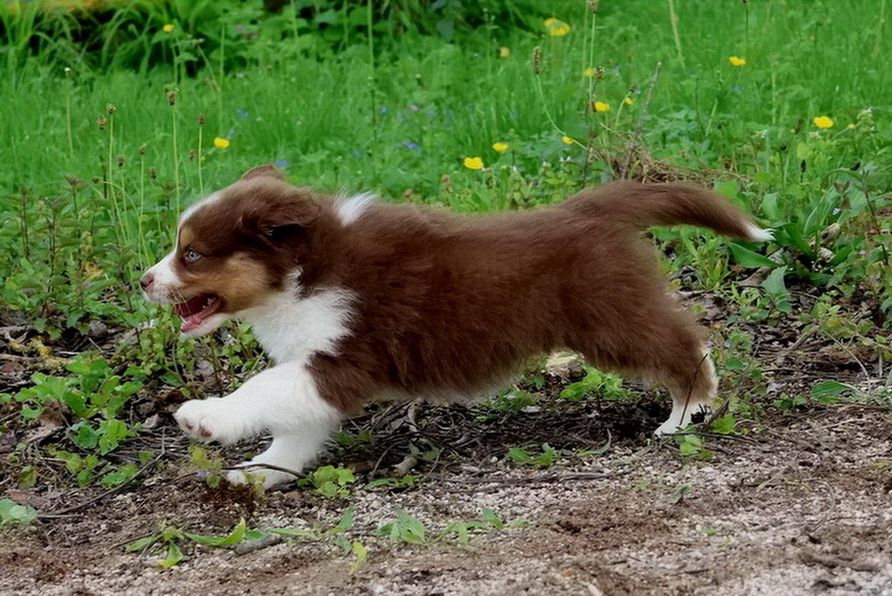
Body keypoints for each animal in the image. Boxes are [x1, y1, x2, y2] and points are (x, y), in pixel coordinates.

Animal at [140, 165, 771, 487]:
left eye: (191, 255)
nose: (144, 281)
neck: (302, 273)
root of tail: (586, 209)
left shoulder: (344, 357)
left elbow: (262, 386)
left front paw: (204, 417)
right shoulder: (316, 369)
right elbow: (294, 428)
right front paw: (257, 474)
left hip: (608, 317)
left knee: (685, 343)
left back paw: (688, 411)